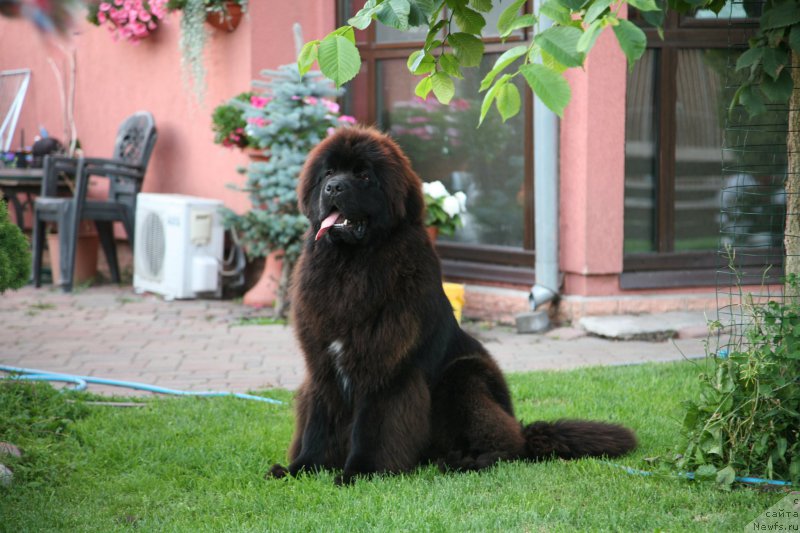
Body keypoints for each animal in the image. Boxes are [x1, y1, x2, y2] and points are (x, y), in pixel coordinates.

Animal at [270, 127, 636, 484]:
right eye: (329, 173)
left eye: (363, 175)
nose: (333, 187)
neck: (351, 266)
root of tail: (523, 427)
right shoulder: (323, 366)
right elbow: (319, 424)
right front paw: (301, 468)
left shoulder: (385, 369)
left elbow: (373, 425)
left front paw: (360, 471)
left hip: (465, 375)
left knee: (508, 445)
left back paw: (464, 461)